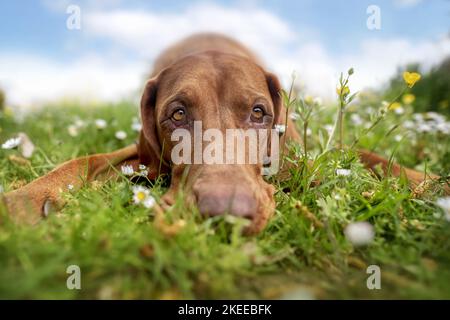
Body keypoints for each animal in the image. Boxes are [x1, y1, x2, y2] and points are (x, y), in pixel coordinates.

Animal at [0, 33, 446, 232]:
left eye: (258, 113)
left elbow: (366, 157)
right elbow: (85, 159)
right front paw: (28, 198)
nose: (226, 211)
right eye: (178, 113)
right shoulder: (142, 156)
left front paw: (428, 182)